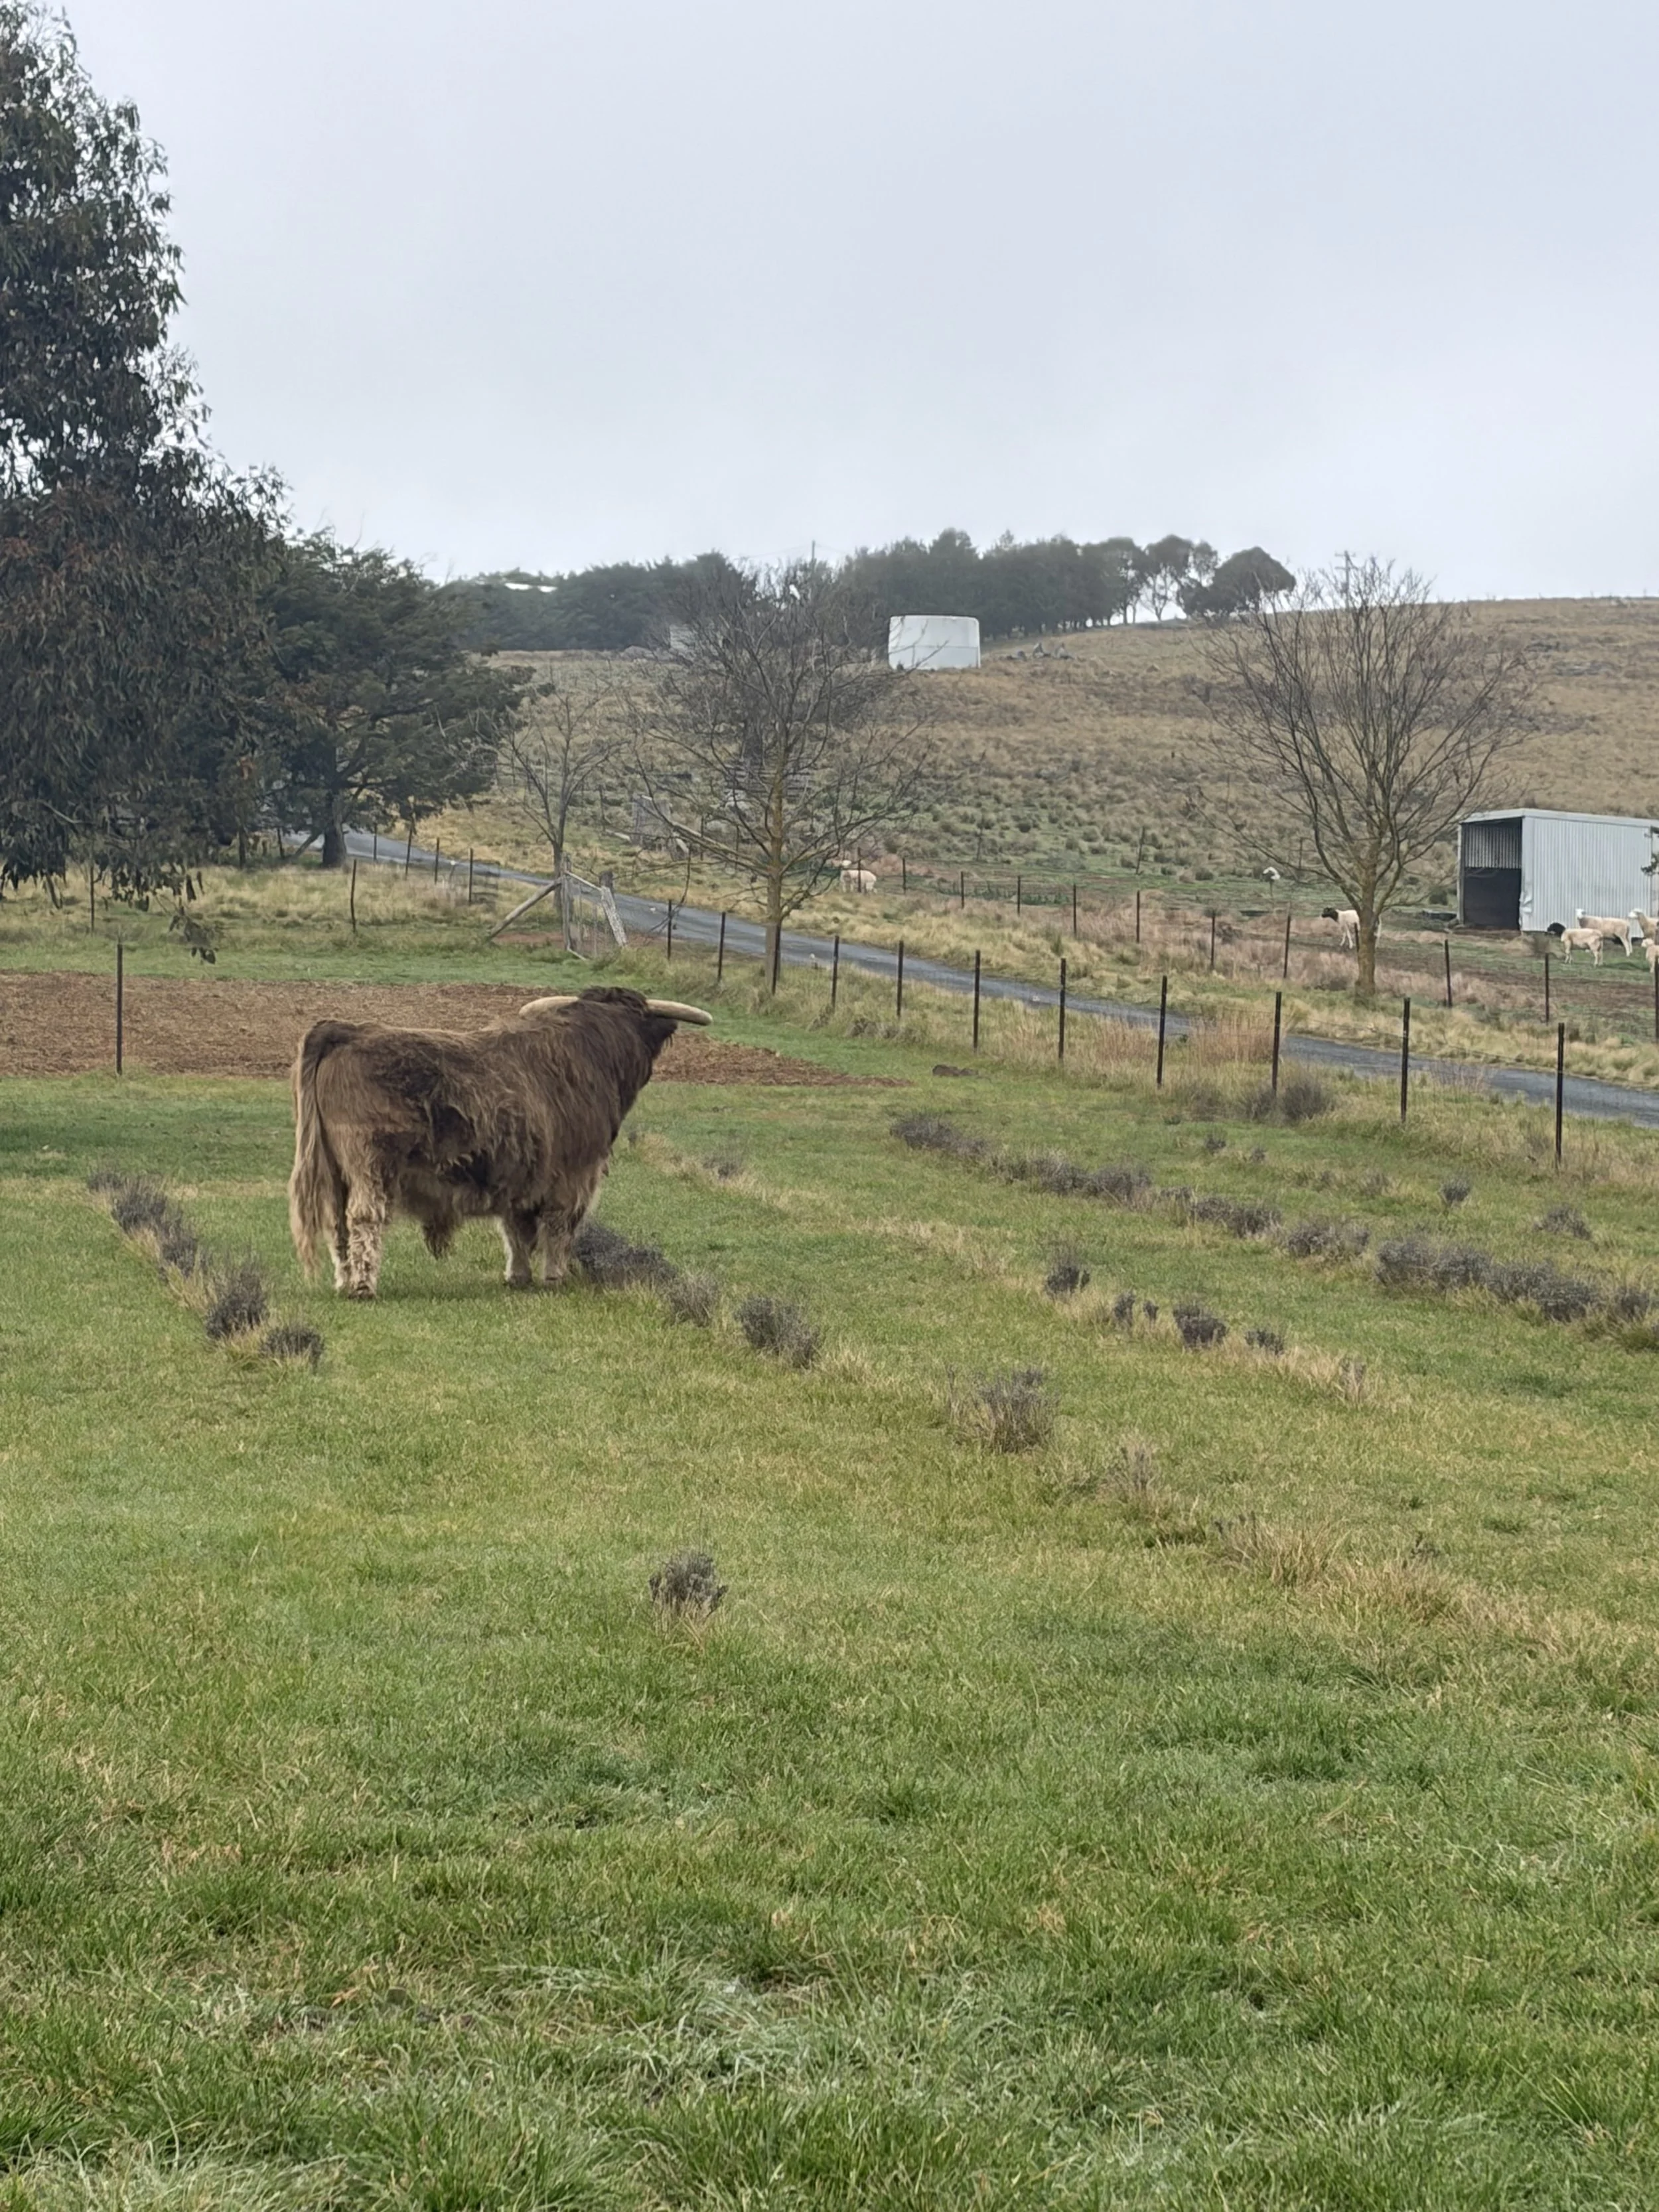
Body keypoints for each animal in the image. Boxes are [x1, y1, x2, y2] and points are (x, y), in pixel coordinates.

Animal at [288, 986, 711, 1300]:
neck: (596, 1052)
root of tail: (348, 1030)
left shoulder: (521, 1179)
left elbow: (516, 1231)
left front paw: (518, 1277)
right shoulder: (574, 1177)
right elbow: (558, 1228)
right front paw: (555, 1277)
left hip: (333, 1171)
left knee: (338, 1226)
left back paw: (343, 1282)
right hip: (369, 1165)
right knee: (364, 1218)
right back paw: (363, 1287)